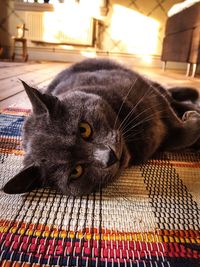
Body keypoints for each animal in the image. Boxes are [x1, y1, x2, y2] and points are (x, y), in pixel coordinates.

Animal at [3, 59, 200, 197]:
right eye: (76, 171)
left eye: (84, 129)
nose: (109, 157)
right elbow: (179, 137)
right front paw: (193, 122)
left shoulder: (150, 93)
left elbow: (177, 126)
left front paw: (192, 116)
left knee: (171, 96)